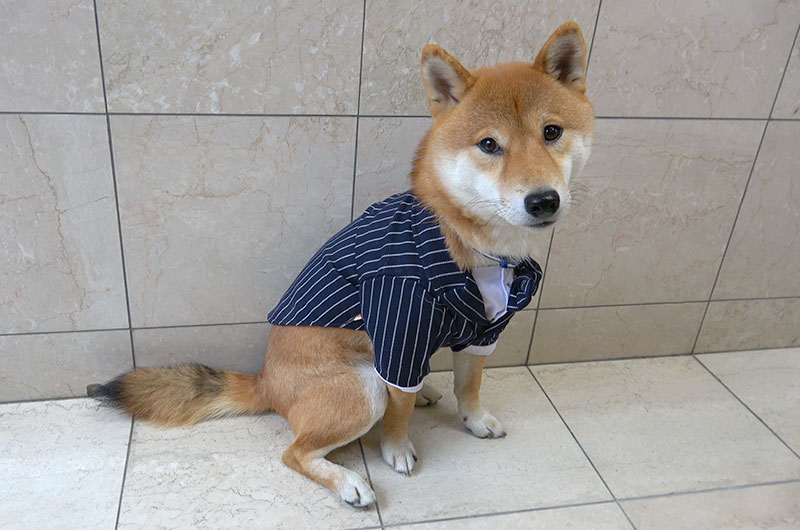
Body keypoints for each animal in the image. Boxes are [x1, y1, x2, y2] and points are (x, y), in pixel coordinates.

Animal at [89, 22, 592, 506]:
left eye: (551, 132)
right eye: (489, 144)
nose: (543, 201)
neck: (471, 243)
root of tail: (266, 379)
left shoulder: (485, 331)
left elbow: (470, 385)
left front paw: (474, 419)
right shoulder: (398, 331)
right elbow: (398, 411)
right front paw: (396, 449)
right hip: (362, 386)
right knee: (296, 452)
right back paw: (349, 481)